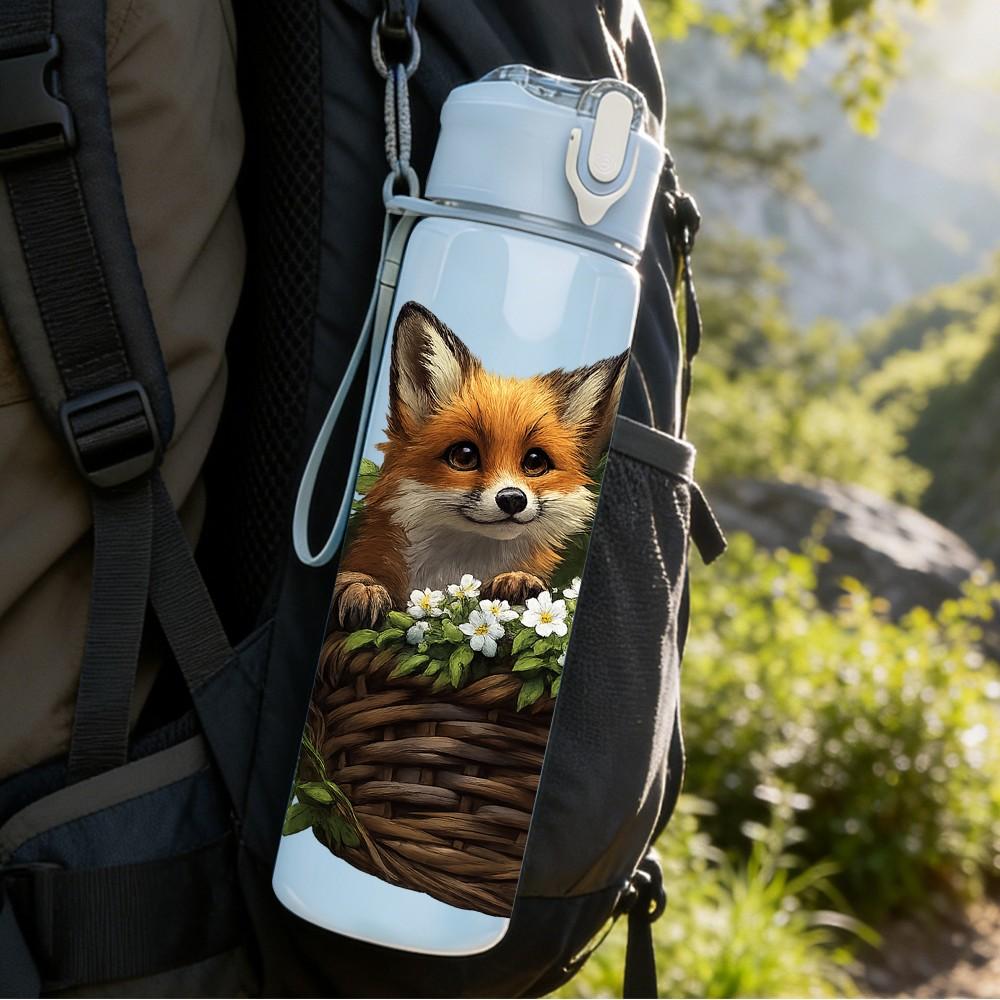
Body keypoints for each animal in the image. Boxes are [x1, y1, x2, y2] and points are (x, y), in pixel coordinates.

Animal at [332, 301, 628, 630]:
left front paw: (516, 579)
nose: (512, 499)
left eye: (535, 462)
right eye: (464, 456)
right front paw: (361, 587)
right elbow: (360, 576)